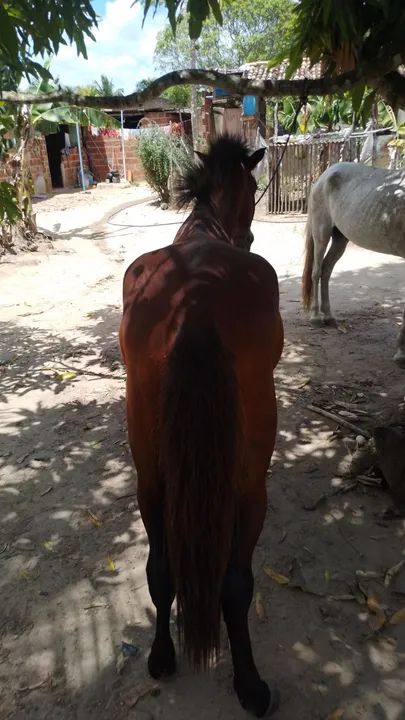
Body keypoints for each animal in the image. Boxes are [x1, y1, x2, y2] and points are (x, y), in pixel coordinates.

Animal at [119, 135, 284, 718]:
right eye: (254, 190)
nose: (250, 234)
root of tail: (195, 299)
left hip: (150, 475)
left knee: (160, 569)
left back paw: (161, 656)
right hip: (250, 484)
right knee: (236, 585)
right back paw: (251, 684)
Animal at [302, 161, 405, 367]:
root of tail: (325, 174)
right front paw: (401, 353)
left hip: (340, 238)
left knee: (326, 270)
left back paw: (329, 316)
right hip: (321, 233)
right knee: (316, 272)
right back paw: (316, 318)